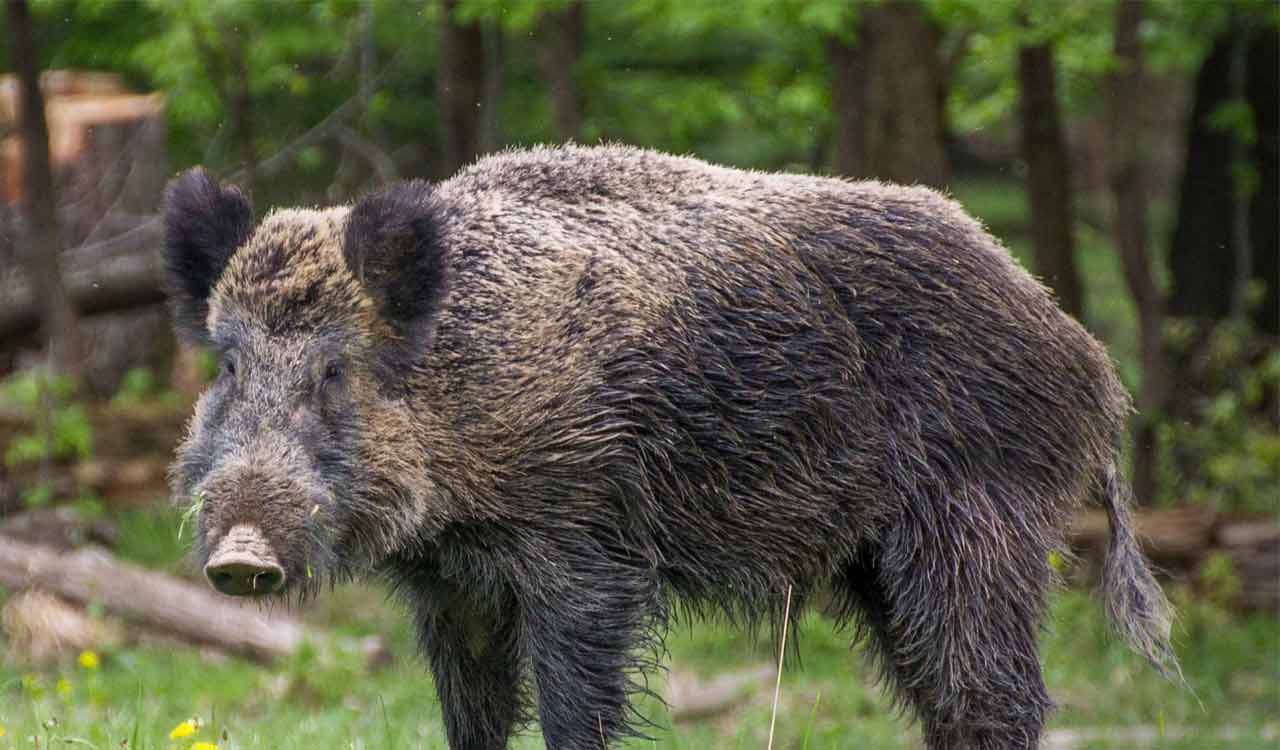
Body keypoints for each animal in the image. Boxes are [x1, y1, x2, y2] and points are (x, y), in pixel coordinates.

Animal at [164, 144, 1177, 750]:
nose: (240, 556)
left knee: (994, 695)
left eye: (335, 369)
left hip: (978, 522)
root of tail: (1086, 359)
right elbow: (474, 718)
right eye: (227, 363)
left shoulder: (584, 552)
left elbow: (577, 710)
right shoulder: (452, 586)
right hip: (879, 564)